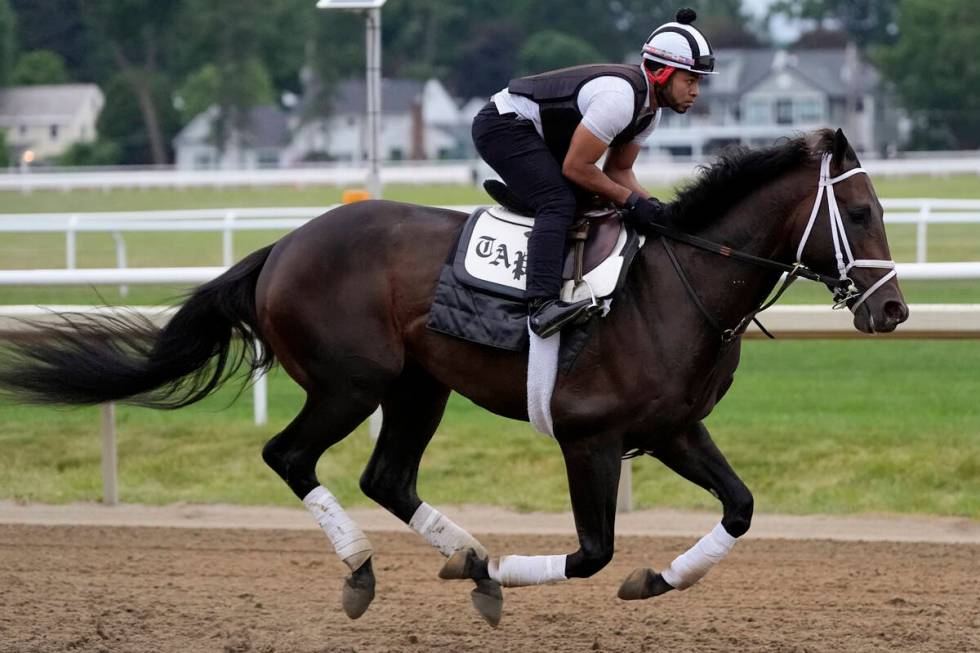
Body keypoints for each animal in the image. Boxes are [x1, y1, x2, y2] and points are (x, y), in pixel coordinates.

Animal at [0, 129, 908, 628]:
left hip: (417, 386)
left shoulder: (673, 428)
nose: (894, 309)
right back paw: (371, 567)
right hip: (350, 383)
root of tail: (283, 246)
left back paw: (459, 554)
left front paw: (655, 579)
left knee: (386, 475)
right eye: (861, 213)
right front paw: (502, 574)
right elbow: (590, 553)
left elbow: (740, 507)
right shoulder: (591, 439)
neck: (677, 284)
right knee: (291, 457)